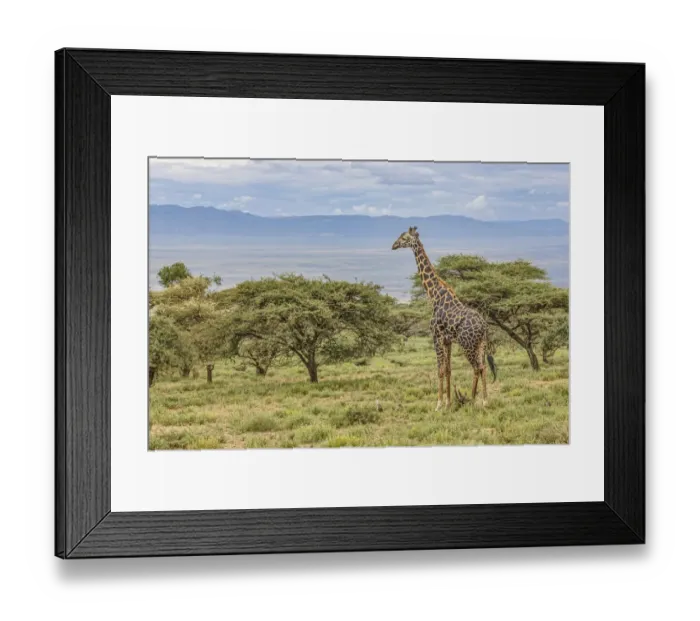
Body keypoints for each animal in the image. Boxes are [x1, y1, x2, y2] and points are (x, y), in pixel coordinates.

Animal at [392, 226, 496, 410]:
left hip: (467, 344)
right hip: (481, 344)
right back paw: (484, 400)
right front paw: (448, 402)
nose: (393, 245)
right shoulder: (447, 340)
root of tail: (484, 326)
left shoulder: (436, 336)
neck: (434, 294)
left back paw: (472, 399)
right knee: (483, 366)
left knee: (476, 367)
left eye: (404, 238)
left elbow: (440, 370)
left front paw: (439, 404)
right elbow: (448, 369)